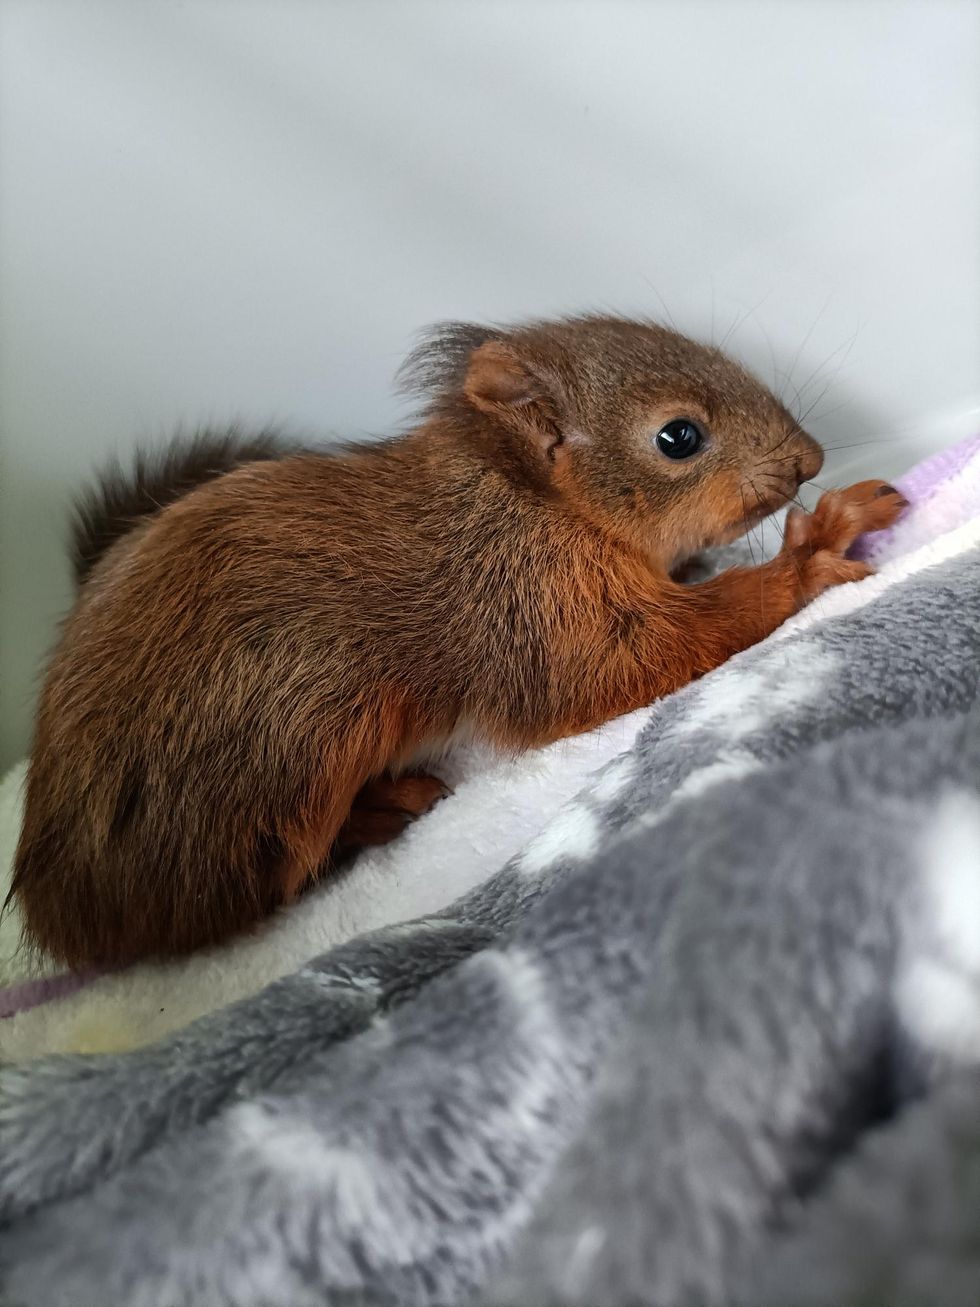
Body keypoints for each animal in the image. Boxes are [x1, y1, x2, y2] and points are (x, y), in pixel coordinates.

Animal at [9, 315, 906, 967]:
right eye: (678, 437)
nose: (810, 459)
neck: (535, 496)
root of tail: (59, 902)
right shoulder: (527, 598)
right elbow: (631, 658)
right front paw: (810, 553)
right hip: (294, 739)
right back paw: (382, 809)